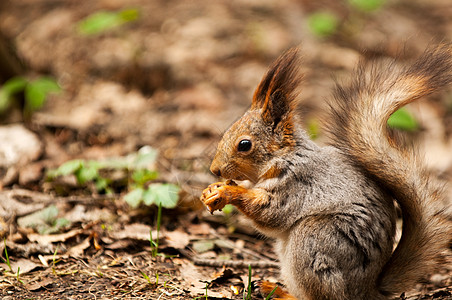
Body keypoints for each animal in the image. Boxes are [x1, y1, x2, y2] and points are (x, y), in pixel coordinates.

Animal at [200, 45, 452, 300]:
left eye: (244, 144)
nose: (215, 169)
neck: (284, 157)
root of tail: (367, 290)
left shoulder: (297, 184)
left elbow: (270, 213)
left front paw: (227, 192)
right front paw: (211, 190)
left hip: (315, 239)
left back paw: (281, 294)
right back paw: (274, 288)